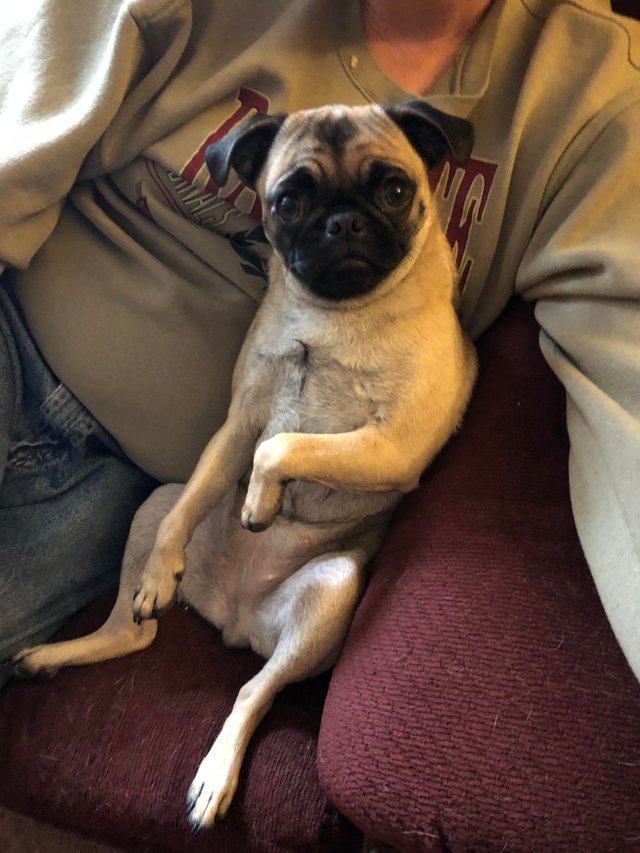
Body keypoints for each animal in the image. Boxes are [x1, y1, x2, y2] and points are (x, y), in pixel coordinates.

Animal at [12, 100, 478, 832]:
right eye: (289, 201)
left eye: (395, 190)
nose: (343, 221)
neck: (332, 316)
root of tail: (231, 617)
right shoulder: (235, 426)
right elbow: (212, 484)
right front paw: (161, 574)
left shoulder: (392, 447)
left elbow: (281, 448)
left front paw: (261, 500)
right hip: (150, 508)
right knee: (134, 628)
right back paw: (64, 649)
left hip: (330, 595)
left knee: (253, 692)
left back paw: (215, 775)